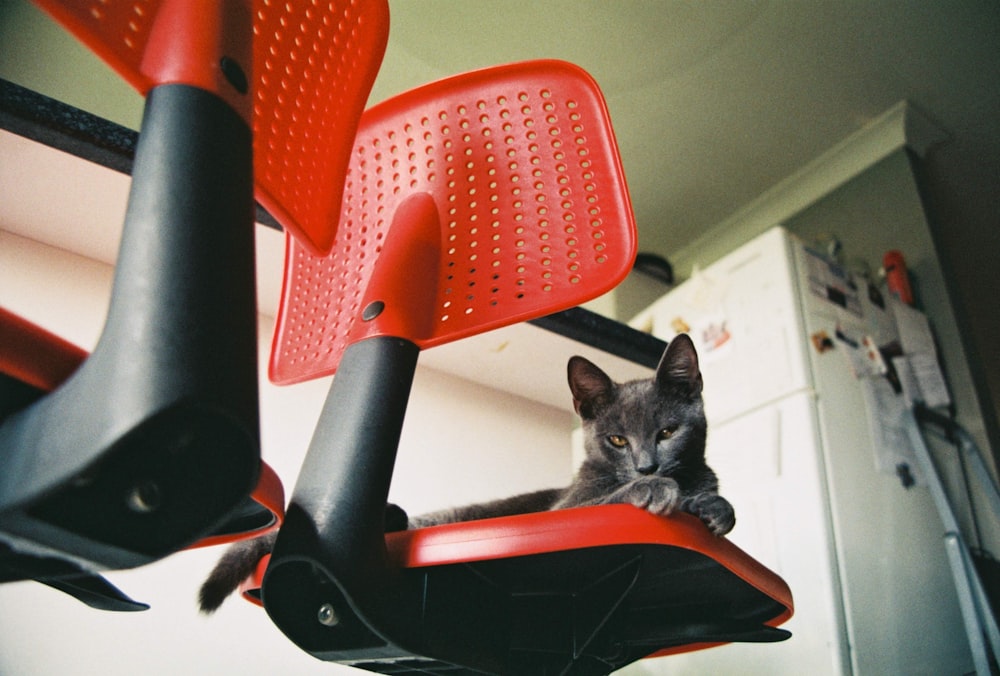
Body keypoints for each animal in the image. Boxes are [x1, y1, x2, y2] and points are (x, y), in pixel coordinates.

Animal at [197, 332, 736, 612]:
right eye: (617, 441)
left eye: (667, 432)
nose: (647, 464)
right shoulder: (568, 509)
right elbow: (607, 497)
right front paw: (657, 489)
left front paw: (715, 506)